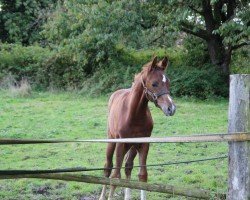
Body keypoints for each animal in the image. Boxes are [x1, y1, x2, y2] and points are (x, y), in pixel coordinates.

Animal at [99, 56, 176, 200]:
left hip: (133, 146)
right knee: (108, 167)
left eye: (168, 82)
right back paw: (102, 196)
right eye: (154, 83)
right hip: (112, 140)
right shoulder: (120, 144)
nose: (171, 108)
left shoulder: (144, 144)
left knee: (128, 166)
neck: (134, 113)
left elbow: (142, 175)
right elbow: (115, 177)